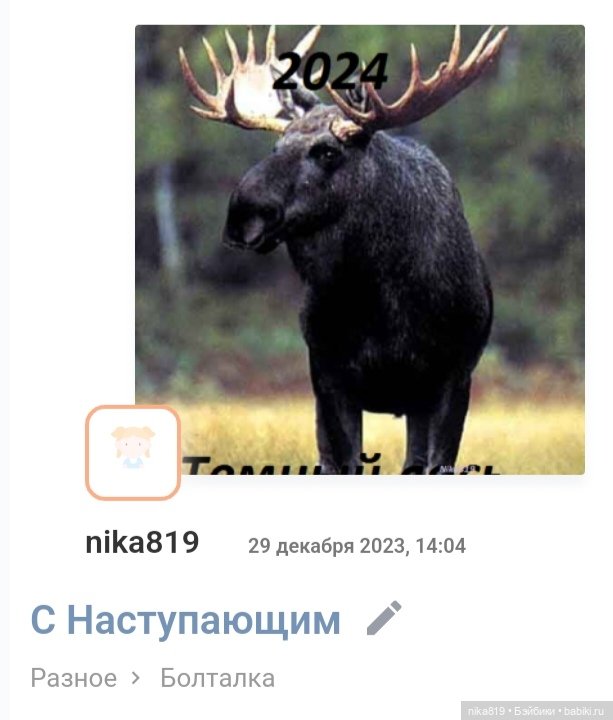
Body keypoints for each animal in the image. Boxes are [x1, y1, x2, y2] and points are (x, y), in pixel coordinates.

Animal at [179, 25, 508, 474]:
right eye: (276, 147)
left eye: (328, 151)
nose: (242, 215)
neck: (382, 301)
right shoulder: (329, 376)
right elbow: (344, 460)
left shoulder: (453, 376)